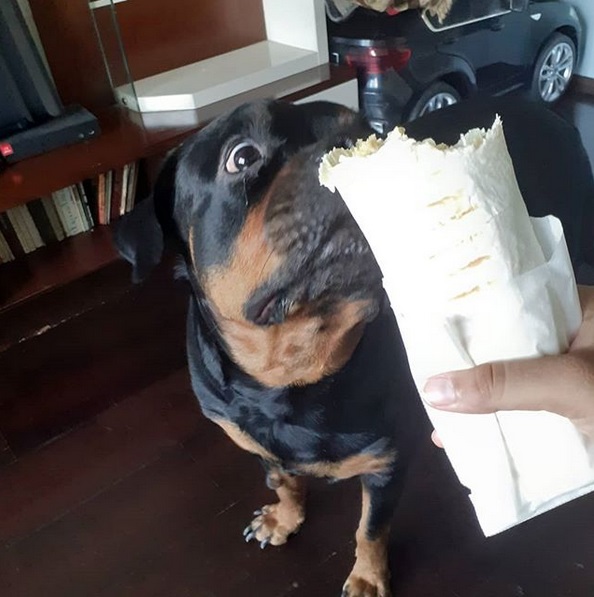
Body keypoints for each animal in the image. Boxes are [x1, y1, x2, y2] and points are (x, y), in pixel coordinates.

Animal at [113, 95, 592, 592]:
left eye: (367, 131)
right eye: (242, 157)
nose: (341, 146)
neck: (290, 373)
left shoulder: (386, 463)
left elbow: (370, 527)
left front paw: (367, 575)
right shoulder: (258, 443)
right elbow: (284, 480)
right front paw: (285, 518)